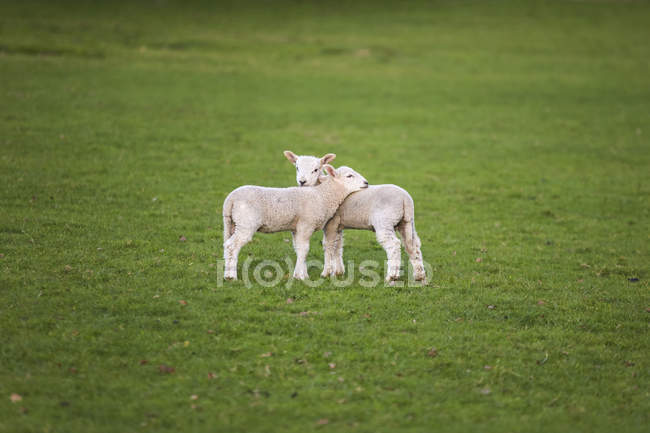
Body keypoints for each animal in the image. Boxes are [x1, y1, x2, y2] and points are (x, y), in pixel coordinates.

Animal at [221, 165, 364, 280]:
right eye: (349, 176)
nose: (366, 182)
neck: (323, 196)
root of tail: (230, 199)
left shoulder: (296, 228)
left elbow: (298, 249)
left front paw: (302, 274)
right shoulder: (306, 224)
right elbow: (304, 249)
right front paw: (300, 276)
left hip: (232, 223)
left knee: (227, 245)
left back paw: (226, 273)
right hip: (246, 223)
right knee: (232, 246)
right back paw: (232, 276)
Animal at [282, 150, 426, 282]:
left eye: (316, 169)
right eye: (297, 167)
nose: (302, 181)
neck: (322, 190)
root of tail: (405, 199)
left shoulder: (331, 222)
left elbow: (328, 245)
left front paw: (326, 273)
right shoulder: (339, 225)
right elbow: (338, 246)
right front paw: (339, 271)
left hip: (384, 221)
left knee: (394, 245)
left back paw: (392, 276)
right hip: (407, 222)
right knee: (413, 245)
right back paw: (419, 275)